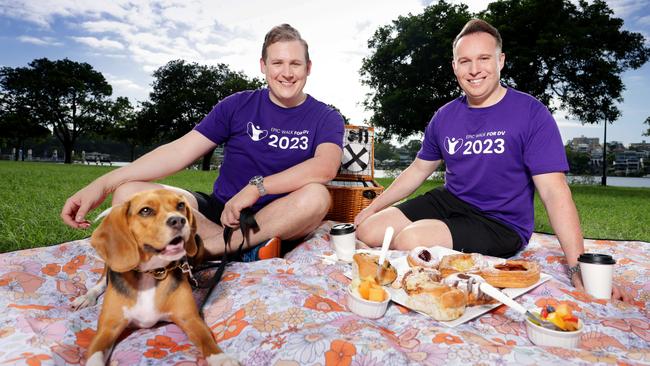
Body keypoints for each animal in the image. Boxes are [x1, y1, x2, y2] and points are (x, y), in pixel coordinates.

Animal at [72, 190, 237, 364]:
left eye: (180, 205)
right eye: (145, 211)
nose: (179, 220)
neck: (151, 273)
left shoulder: (190, 318)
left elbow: (207, 341)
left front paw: (222, 359)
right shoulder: (108, 328)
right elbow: (94, 355)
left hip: (198, 244)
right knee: (101, 281)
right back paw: (86, 297)